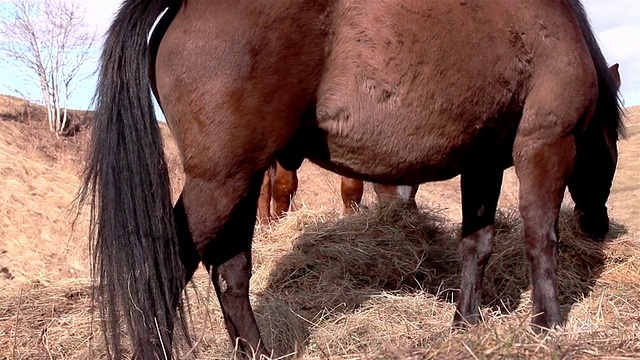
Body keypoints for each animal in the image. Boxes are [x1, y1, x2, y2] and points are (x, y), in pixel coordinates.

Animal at [80, 1, 624, 358]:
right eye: (613, 146)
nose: (599, 226)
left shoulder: (482, 165)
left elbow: (478, 244)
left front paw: (466, 322)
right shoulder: (544, 147)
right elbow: (541, 239)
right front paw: (548, 324)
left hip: (241, 180)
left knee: (230, 273)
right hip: (220, 181)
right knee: (165, 270)